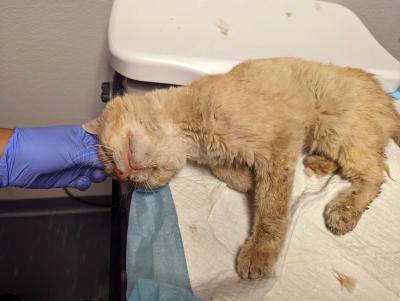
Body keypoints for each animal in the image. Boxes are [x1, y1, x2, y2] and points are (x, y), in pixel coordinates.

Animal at [83, 57, 400, 278]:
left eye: (108, 157)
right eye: (115, 173)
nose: (122, 174)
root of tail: (387, 97)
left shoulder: (280, 145)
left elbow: (271, 209)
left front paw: (259, 253)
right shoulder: (226, 158)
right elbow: (230, 175)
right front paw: (247, 180)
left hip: (340, 132)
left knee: (375, 172)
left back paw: (344, 210)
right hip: (329, 136)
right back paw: (319, 163)